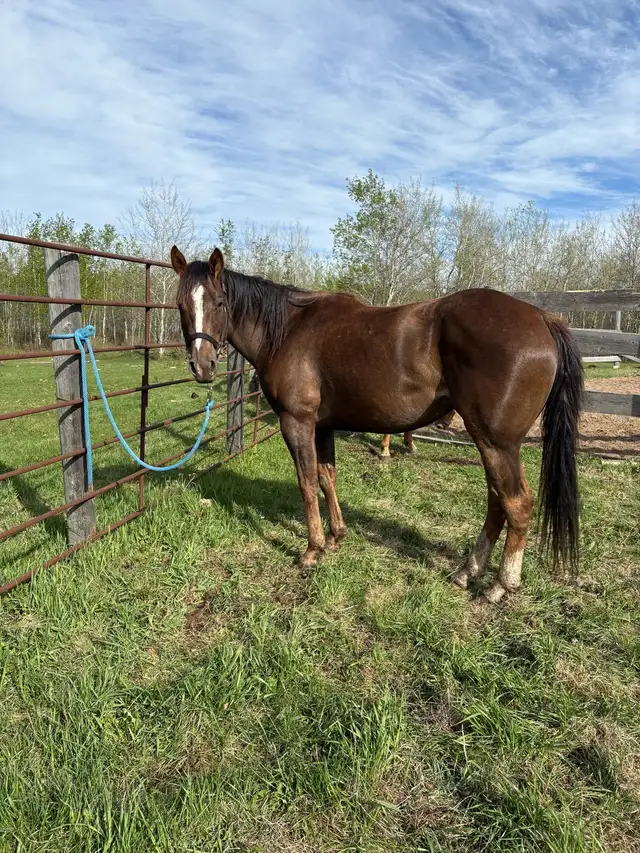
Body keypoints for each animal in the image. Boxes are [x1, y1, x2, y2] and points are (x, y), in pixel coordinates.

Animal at [171, 246, 582, 605]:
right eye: (180, 305)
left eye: (219, 303)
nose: (203, 366)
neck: (288, 331)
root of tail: (543, 319)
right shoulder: (323, 427)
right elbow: (327, 477)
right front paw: (336, 537)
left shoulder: (297, 422)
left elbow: (307, 482)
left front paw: (312, 550)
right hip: (490, 442)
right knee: (497, 501)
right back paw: (467, 572)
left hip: (497, 442)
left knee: (516, 503)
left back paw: (500, 586)